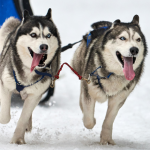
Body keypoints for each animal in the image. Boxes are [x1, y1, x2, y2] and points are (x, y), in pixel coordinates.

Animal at [0, 8, 61, 144]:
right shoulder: (4, 85)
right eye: (33, 35)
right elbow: (5, 116)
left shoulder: (35, 95)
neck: (29, 71)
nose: (44, 46)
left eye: (48, 35)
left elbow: (23, 118)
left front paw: (18, 139)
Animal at [72, 14, 147, 144]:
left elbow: (109, 119)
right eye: (122, 38)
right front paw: (92, 121)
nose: (134, 50)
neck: (113, 73)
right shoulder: (89, 89)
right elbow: (88, 119)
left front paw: (106, 138)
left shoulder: (118, 98)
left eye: (138, 39)